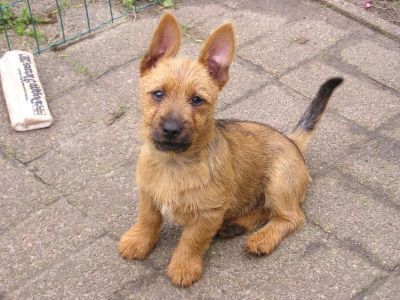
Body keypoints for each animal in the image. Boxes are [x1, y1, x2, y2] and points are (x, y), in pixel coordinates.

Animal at [117, 12, 342, 288]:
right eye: (158, 94)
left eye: (197, 100)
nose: (171, 129)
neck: (174, 163)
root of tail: (292, 140)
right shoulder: (148, 195)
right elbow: (147, 219)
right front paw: (137, 241)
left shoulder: (208, 215)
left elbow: (191, 241)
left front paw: (183, 267)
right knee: (263, 209)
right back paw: (236, 226)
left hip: (279, 182)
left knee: (290, 217)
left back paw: (262, 239)